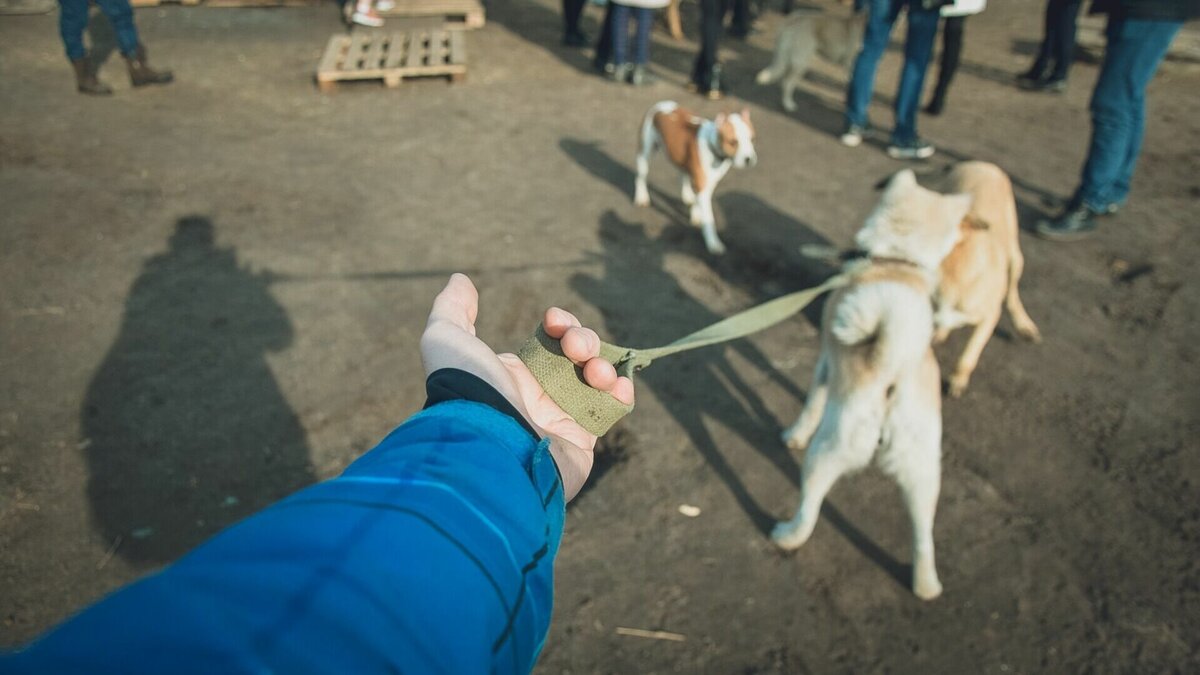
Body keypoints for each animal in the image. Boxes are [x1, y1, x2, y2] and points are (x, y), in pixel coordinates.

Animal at [633, 100, 753, 254]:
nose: (749, 159)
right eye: (733, 142)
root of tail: (661, 104)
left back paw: (687, 196)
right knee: (641, 176)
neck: (712, 145)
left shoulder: (706, 184)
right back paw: (641, 197)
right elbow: (709, 219)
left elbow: (698, 202)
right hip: (645, 152)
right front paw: (713, 243)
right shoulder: (702, 187)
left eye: (752, 139)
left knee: (682, 173)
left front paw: (696, 215)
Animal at [768, 169, 974, 598]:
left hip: (826, 452)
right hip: (923, 471)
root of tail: (893, 366)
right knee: (923, 537)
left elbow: (810, 403)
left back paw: (786, 535)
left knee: (809, 510)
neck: (895, 263)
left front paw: (792, 435)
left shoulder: (825, 364)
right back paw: (925, 586)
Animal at [926, 160, 1041, 396]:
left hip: (1016, 258)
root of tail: (982, 164)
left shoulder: (989, 319)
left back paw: (1024, 325)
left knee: (1012, 294)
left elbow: (969, 355)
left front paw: (958, 380)